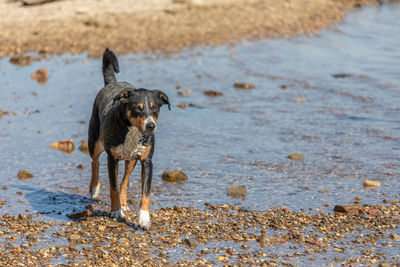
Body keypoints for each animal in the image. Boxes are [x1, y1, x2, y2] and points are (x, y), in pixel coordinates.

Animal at [88, 48, 170, 230]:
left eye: (154, 109)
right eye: (137, 108)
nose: (151, 126)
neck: (132, 130)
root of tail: (111, 83)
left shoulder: (147, 161)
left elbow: (144, 194)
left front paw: (144, 218)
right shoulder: (112, 159)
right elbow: (113, 188)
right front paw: (116, 211)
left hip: (131, 160)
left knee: (124, 181)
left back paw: (124, 203)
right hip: (95, 142)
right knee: (95, 162)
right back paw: (94, 189)